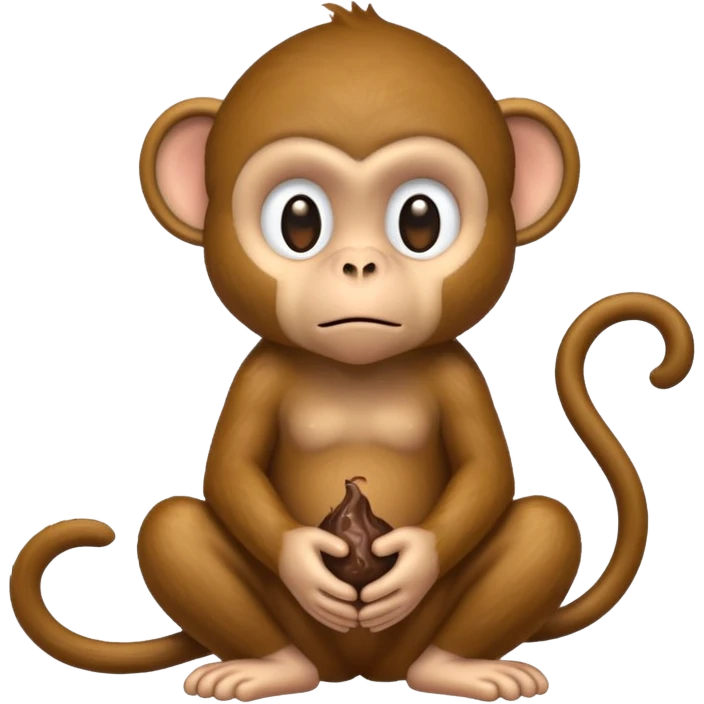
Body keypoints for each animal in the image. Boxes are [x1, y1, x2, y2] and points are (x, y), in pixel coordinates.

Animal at [9, 3, 695, 703]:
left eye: (421, 220)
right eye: (299, 220)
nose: (360, 264)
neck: (358, 371)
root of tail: (363, 670)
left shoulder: (456, 372)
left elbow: (486, 472)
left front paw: (415, 559)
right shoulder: (261, 371)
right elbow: (230, 472)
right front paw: (303, 559)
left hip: (422, 626)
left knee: (545, 527)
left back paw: (460, 666)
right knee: (172, 527)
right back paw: (266, 666)